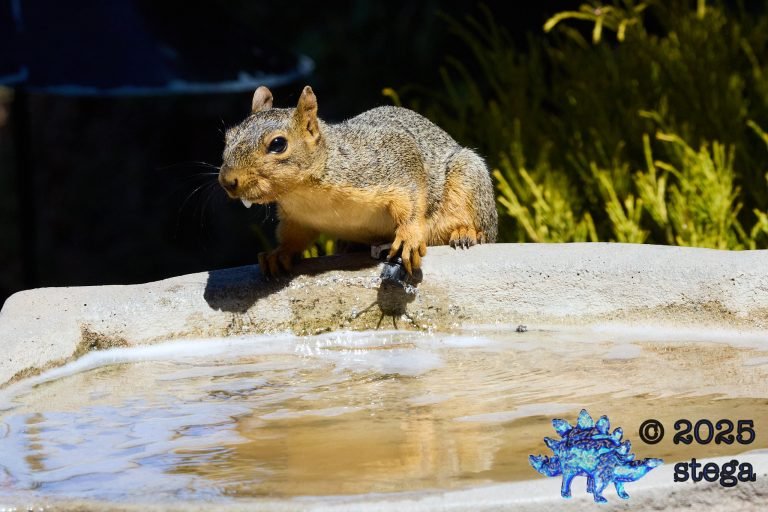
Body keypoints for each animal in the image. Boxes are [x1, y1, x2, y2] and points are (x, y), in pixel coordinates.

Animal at [219, 85, 498, 277]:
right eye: (228, 137)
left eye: (278, 144)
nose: (227, 181)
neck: (306, 193)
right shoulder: (297, 217)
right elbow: (293, 237)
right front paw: (279, 254)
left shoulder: (392, 160)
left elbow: (412, 199)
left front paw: (408, 236)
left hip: (468, 179)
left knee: (482, 228)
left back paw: (466, 232)